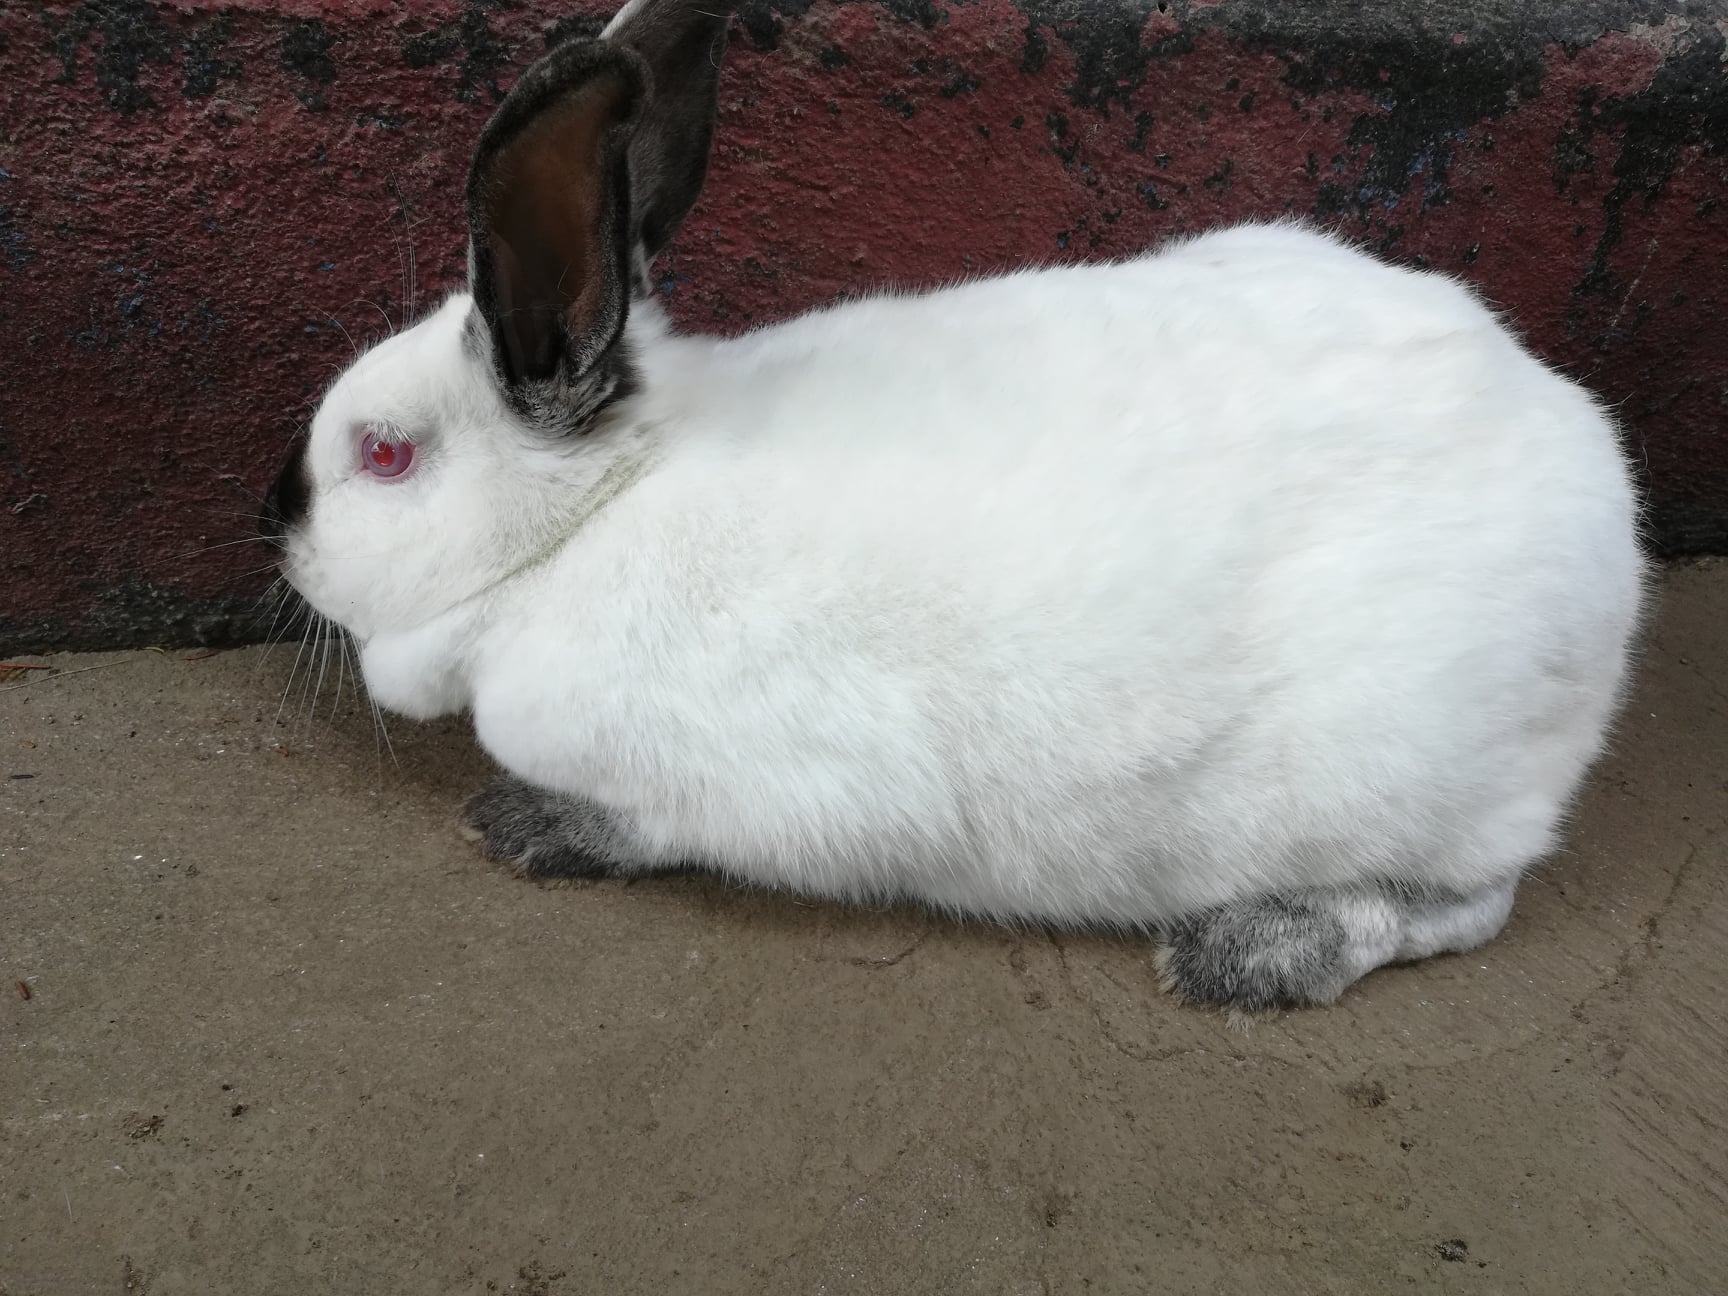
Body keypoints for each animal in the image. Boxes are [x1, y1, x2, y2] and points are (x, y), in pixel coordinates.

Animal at [260, 0, 1646, 1012]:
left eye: (383, 456)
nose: (280, 526)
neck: (597, 513)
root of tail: (1592, 468)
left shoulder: (755, 789)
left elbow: (651, 823)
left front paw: (523, 827)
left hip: (1399, 794)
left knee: (1466, 905)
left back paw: (1252, 955)